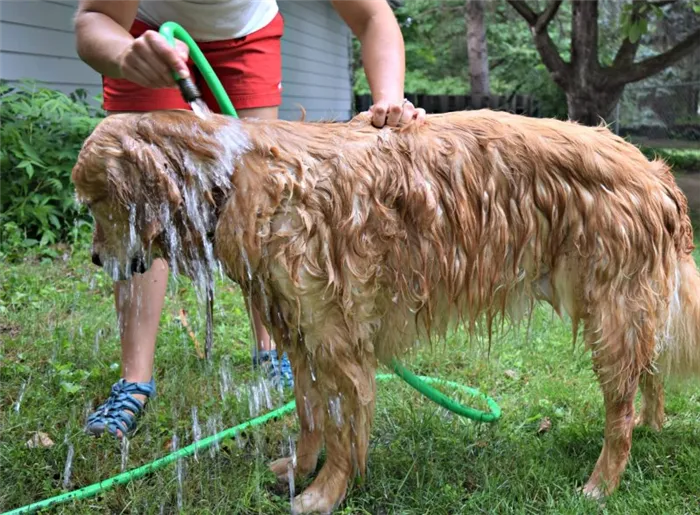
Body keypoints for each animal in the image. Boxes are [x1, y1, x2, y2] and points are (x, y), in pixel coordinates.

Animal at [72, 108, 700, 512]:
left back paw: (602, 482)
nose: (96, 257)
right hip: (627, 312)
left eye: (99, 201)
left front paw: (325, 493)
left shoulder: (338, 338)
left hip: (610, 312)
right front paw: (298, 470)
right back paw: (651, 425)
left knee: (618, 410)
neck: (230, 175)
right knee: (647, 375)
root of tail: (654, 172)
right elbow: (309, 415)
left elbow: (343, 427)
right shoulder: (301, 335)